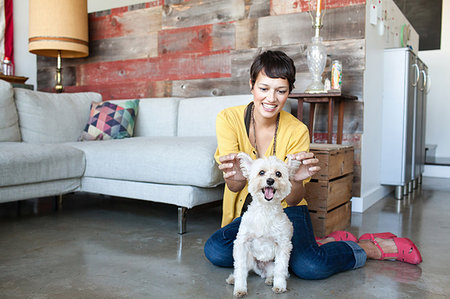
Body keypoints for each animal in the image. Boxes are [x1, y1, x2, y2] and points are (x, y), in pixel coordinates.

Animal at [225, 154, 298, 298]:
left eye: (278, 173)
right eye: (261, 172)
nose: (270, 180)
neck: (265, 209)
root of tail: (260, 268)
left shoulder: (283, 245)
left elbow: (281, 269)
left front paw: (279, 286)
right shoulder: (242, 243)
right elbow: (240, 269)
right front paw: (240, 288)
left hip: (270, 265)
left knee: (272, 273)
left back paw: (270, 280)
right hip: (249, 258)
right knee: (242, 269)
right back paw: (232, 278)